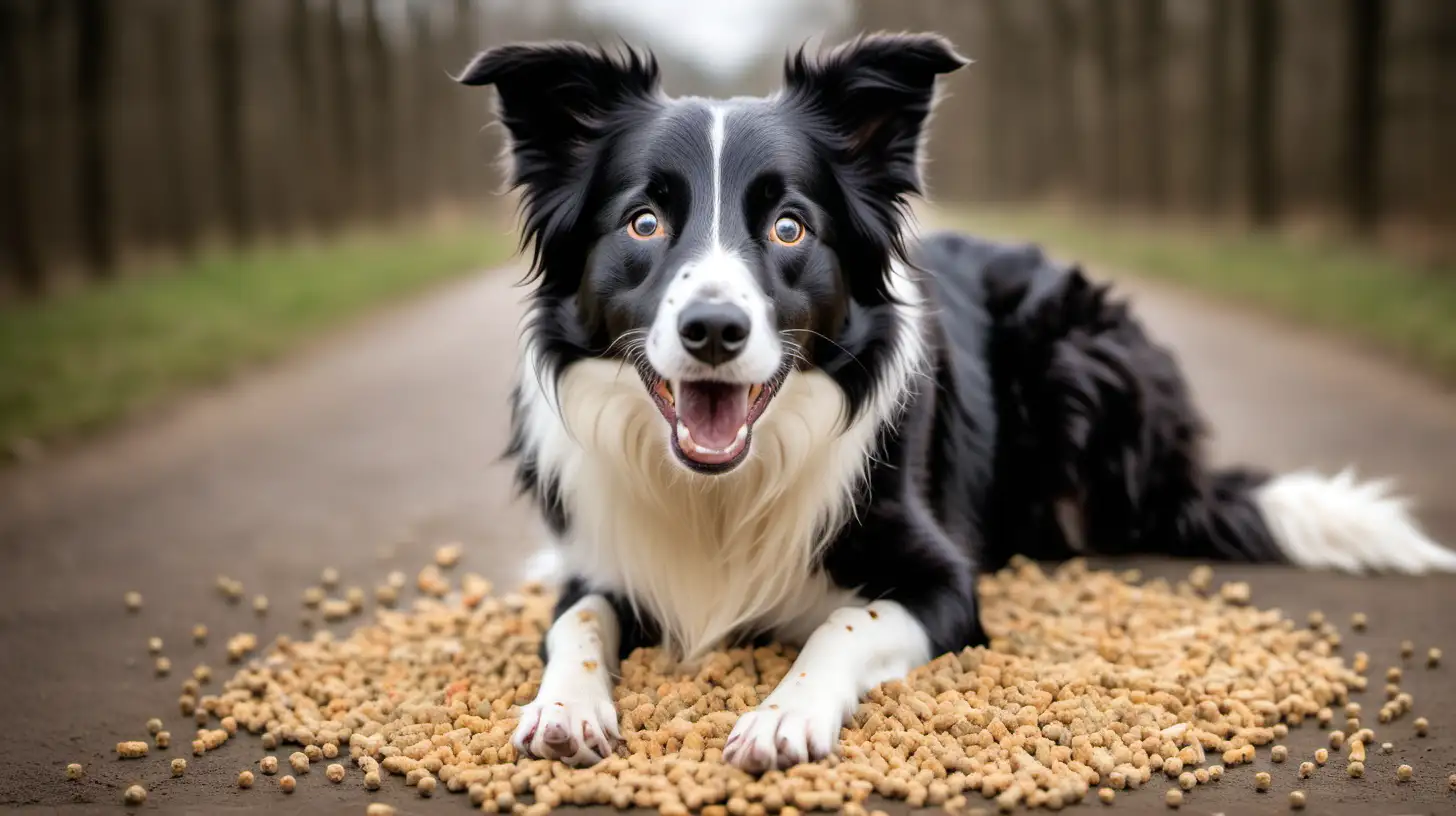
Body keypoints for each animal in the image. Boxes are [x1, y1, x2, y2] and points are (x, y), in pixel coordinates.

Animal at [454, 31, 1456, 769]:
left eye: (790, 228)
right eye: (644, 222)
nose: (713, 330)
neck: (722, 491)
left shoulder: (943, 583)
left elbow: (844, 621)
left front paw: (784, 714)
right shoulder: (603, 559)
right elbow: (577, 620)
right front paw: (564, 707)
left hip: (1073, 360)